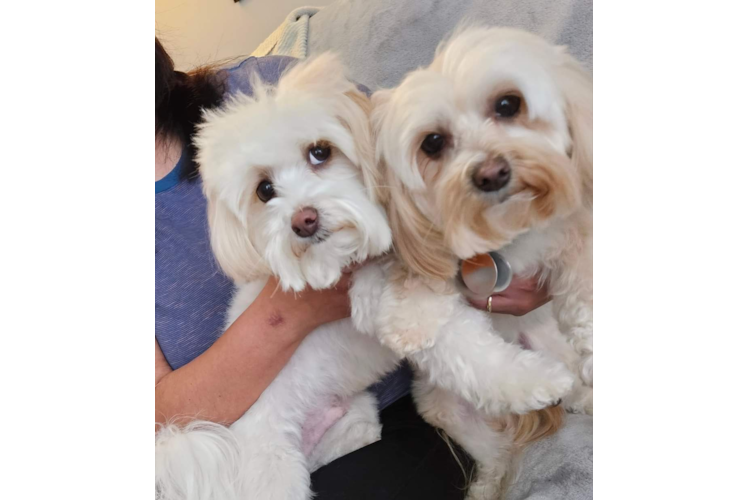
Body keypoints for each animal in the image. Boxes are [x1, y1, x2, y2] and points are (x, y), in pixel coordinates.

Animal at [372, 26, 592, 496]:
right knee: (497, 453)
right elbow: (415, 277)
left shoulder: (568, 234)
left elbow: (583, 283)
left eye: (508, 104)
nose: (489, 173)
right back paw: (487, 486)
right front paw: (408, 321)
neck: (505, 233)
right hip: (449, 410)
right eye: (433, 142)